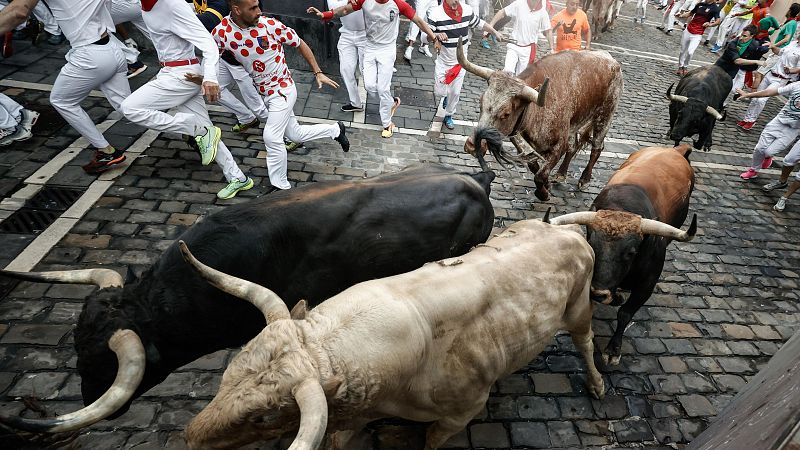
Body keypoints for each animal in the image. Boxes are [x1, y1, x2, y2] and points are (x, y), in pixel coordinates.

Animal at [181, 217, 608, 446]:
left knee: (585, 341)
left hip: (578, 309)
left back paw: (597, 382)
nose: (191, 436)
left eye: (263, 417)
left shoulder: (464, 412)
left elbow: (432, 441)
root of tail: (565, 230)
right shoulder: (353, 414)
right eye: (226, 376)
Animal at [456, 41, 624, 201]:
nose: (471, 145)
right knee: (573, 146)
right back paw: (561, 174)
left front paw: (543, 194)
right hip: (573, 124)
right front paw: (547, 185)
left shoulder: (558, 147)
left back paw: (584, 179)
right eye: (481, 102)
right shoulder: (526, 148)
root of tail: (611, 60)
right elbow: (535, 167)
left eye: (506, 114)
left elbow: (540, 175)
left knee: (596, 147)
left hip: (605, 116)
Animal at [548, 146, 696, 364]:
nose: (598, 292)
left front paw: (613, 349)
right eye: (591, 241)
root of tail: (675, 149)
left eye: (631, 252)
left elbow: (625, 314)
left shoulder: (646, 285)